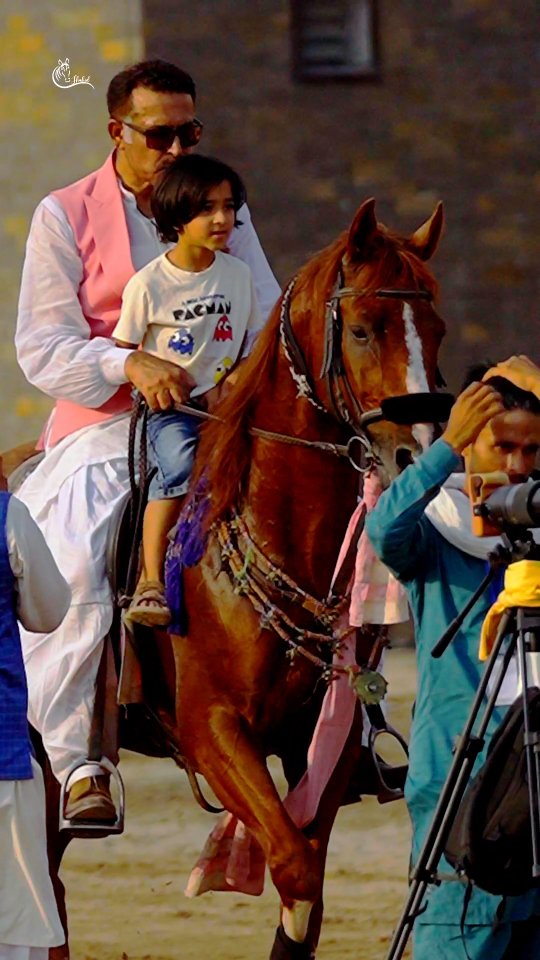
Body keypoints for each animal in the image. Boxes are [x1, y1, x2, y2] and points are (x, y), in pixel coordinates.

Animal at [8, 196, 447, 960]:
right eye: (364, 327)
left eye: (438, 329)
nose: (415, 455)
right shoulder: (213, 731)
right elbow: (293, 867)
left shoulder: (322, 744)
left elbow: (306, 890)